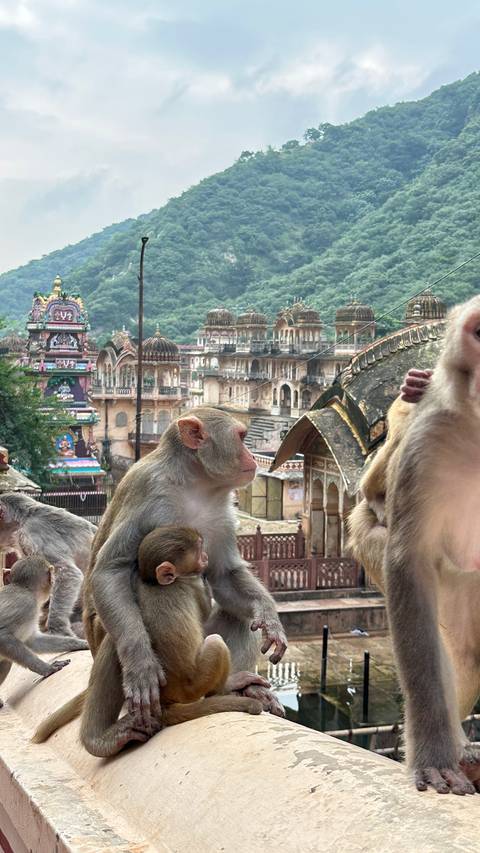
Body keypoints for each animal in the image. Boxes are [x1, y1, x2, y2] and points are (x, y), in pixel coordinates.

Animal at [0, 555, 88, 705]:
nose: (53, 581)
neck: (24, 589)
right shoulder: (26, 605)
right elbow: (3, 637)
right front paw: (47, 669)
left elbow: (34, 641)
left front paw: (81, 643)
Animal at [69, 527, 263, 757]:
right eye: (199, 550)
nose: (206, 557)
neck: (159, 583)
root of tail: (167, 700)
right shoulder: (193, 584)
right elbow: (204, 610)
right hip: (194, 684)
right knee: (215, 643)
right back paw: (225, 687)